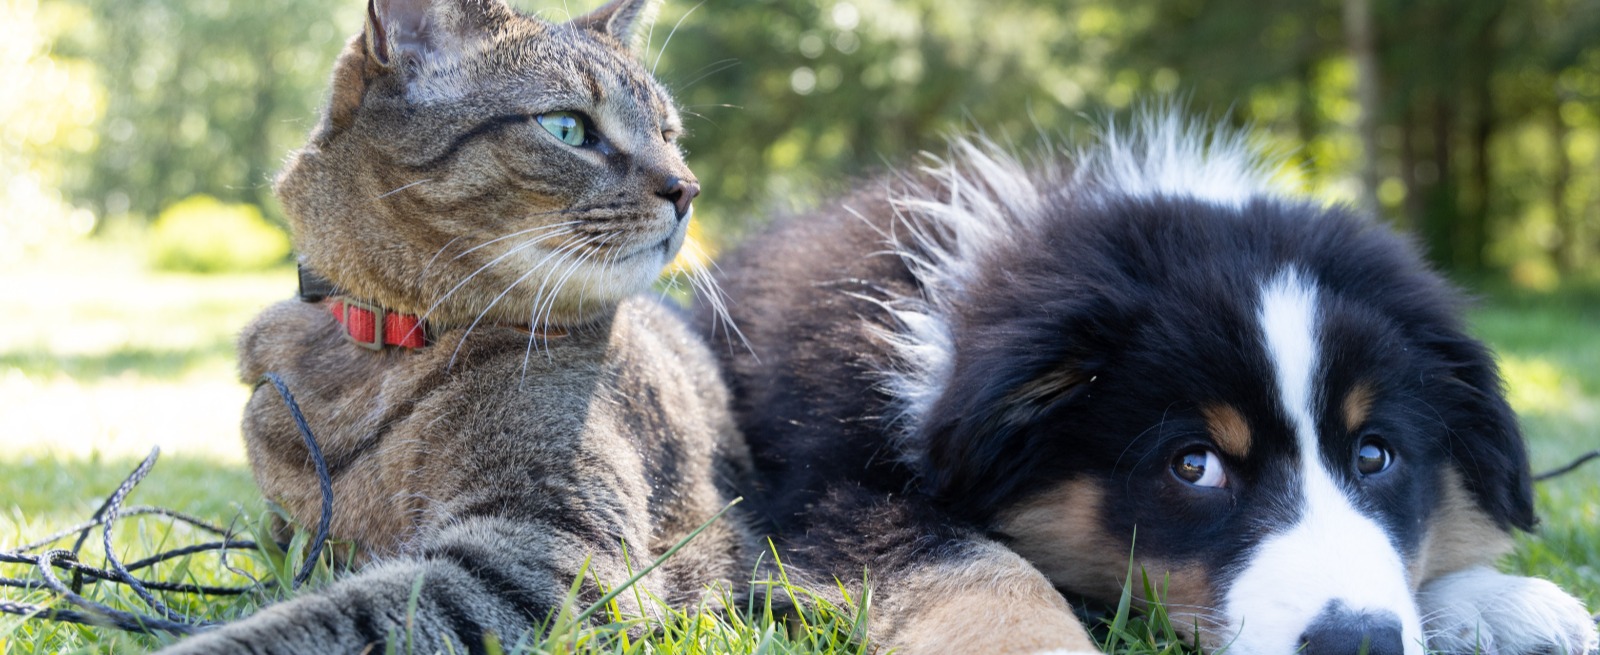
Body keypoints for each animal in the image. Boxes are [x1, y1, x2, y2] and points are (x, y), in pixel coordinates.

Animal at [159, 1, 758, 646]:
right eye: (567, 127)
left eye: (669, 136)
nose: (688, 188)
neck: (388, 345)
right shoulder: (286, 535)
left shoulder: (549, 550)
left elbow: (335, 618)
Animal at [704, 113, 1600, 653]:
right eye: (1193, 464)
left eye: (1375, 454)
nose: (1356, 642)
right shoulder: (823, 490)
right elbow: (972, 562)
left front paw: (1507, 603)